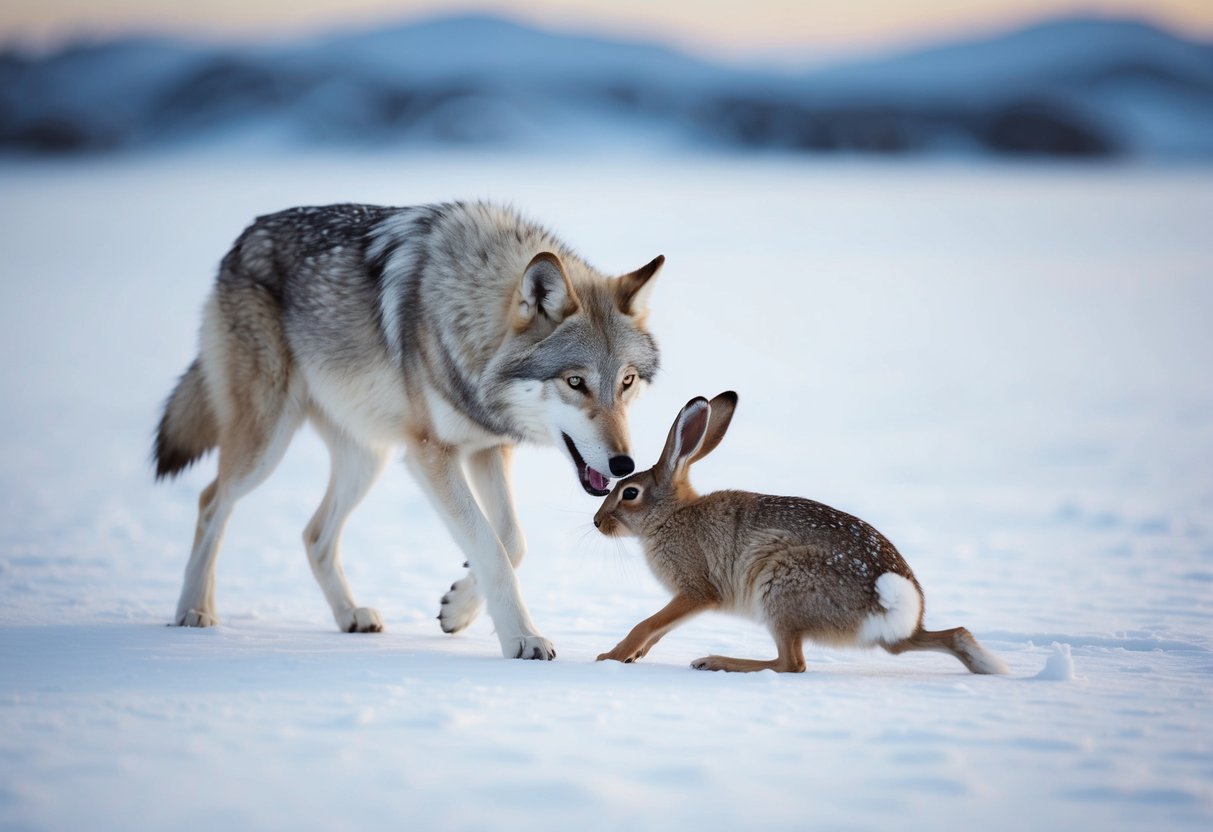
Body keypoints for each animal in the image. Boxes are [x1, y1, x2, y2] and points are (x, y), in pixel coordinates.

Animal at [154, 201, 663, 660]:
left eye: (626, 382)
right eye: (576, 382)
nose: (624, 464)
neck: (468, 316)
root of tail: (243, 238)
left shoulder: (488, 448)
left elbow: (511, 541)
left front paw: (458, 606)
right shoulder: (432, 455)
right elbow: (491, 546)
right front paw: (522, 638)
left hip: (368, 458)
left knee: (314, 534)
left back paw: (351, 615)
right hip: (266, 444)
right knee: (211, 502)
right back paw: (194, 611)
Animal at [593, 391, 1009, 675]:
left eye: (630, 493)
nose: (597, 522)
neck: (670, 515)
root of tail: (894, 605)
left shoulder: (697, 590)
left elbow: (649, 623)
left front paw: (611, 656)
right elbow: (660, 628)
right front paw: (631, 656)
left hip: (781, 588)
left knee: (790, 663)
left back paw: (717, 661)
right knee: (941, 637)